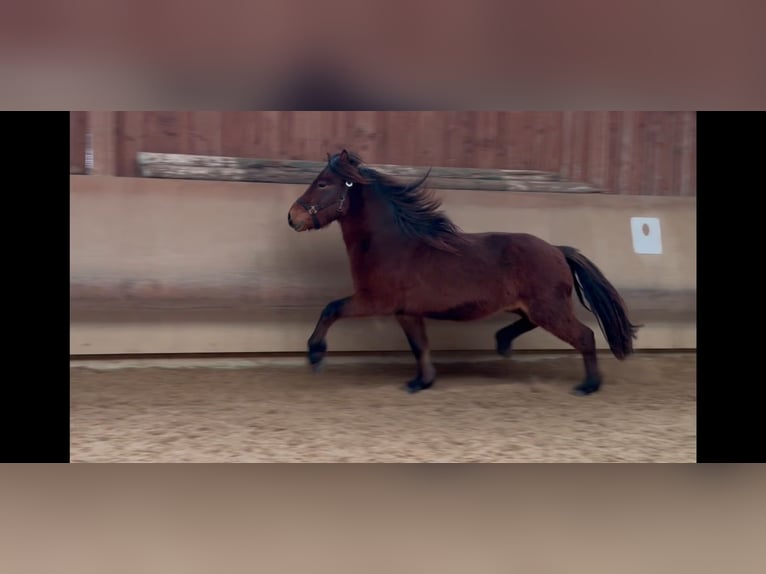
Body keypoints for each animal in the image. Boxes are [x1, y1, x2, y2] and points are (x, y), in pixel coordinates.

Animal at [288, 150, 640, 396]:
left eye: (322, 183)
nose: (292, 217)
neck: (391, 244)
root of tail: (558, 249)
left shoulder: (375, 301)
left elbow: (330, 309)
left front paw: (315, 355)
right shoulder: (406, 311)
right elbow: (419, 345)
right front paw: (421, 382)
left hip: (549, 308)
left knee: (585, 336)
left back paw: (588, 386)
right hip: (532, 307)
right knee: (533, 325)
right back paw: (503, 343)